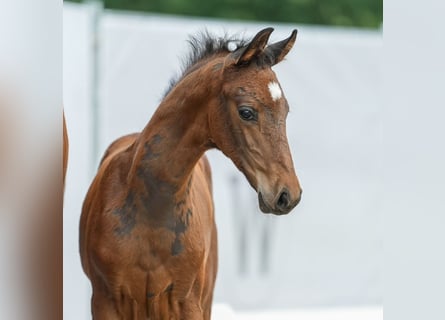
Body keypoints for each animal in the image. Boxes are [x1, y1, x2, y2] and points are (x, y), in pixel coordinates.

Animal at [80, 28, 302, 320]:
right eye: (246, 112)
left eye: (285, 111)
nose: (288, 194)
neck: (151, 208)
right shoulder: (105, 301)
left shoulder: (188, 302)